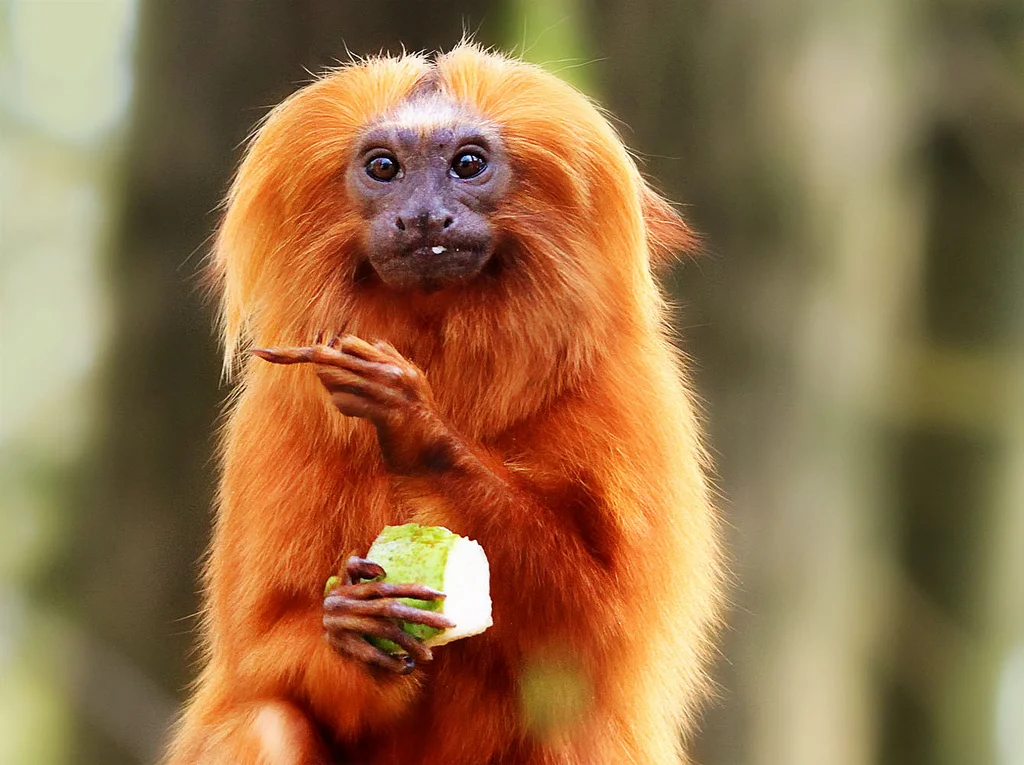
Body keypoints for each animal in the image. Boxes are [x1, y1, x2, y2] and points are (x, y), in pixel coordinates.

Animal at [165, 44, 722, 765]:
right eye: (384, 168)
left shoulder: (628, 390)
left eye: (467, 164)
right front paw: (353, 626)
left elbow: (609, 631)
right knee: (265, 720)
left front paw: (418, 428)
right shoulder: (277, 416)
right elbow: (257, 655)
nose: (425, 215)